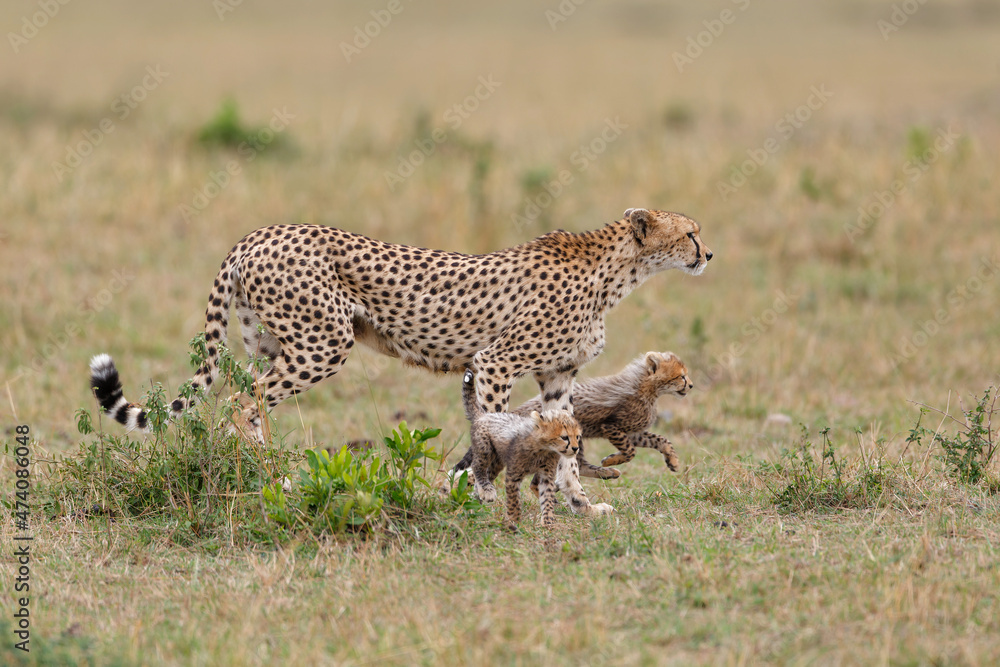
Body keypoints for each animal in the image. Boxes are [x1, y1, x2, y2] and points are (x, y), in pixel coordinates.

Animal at [88, 208, 712, 439]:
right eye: (689, 232)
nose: (708, 254)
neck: (615, 273)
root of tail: (260, 232)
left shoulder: (558, 376)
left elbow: (566, 439)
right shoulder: (495, 362)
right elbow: (493, 426)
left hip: (263, 343)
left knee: (236, 397)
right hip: (322, 343)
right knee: (245, 402)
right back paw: (273, 477)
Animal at [459, 369, 613, 530]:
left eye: (577, 436)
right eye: (564, 437)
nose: (575, 448)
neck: (542, 449)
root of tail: (484, 414)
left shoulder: (546, 475)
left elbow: (547, 497)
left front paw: (548, 521)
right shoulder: (514, 475)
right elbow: (514, 499)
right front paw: (514, 520)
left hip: (497, 461)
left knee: (489, 472)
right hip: (485, 448)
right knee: (477, 466)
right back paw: (485, 492)